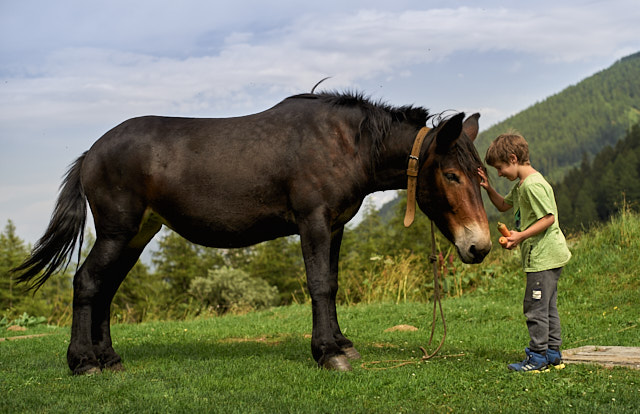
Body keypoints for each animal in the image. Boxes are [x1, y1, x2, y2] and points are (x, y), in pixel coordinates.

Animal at [12, 91, 492, 376]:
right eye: (451, 175)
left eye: (480, 176)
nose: (479, 246)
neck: (345, 144)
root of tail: (91, 152)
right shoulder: (313, 221)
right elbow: (319, 284)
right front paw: (328, 352)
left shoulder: (336, 226)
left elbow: (333, 284)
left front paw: (341, 343)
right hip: (118, 231)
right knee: (87, 283)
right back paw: (82, 362)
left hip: (136, 235)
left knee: (106, 289)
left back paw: (109, 359)